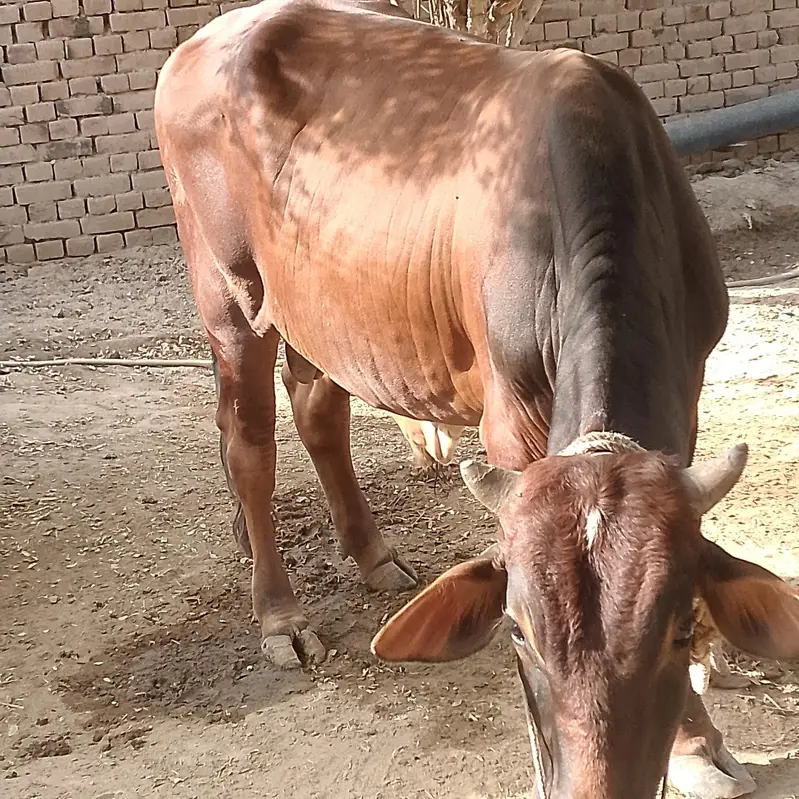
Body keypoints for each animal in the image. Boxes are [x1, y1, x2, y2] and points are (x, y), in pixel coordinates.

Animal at [154, 2, 799, 797]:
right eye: (518, 629)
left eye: (682, 627)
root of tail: (203, 38)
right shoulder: (510, 419)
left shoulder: (690, 390)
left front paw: (696, 740)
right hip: (228, 298)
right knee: (248, 443)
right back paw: (278, 613)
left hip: (324, 312)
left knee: (317, 412)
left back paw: (371, 554)